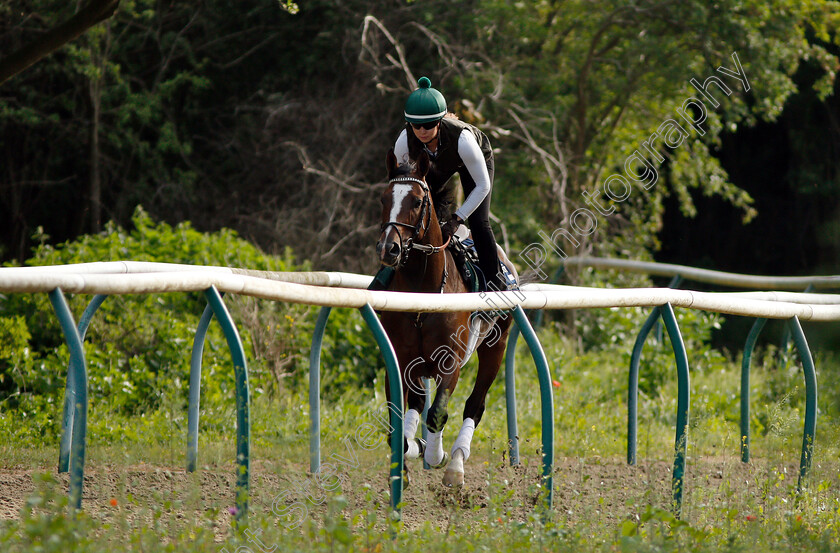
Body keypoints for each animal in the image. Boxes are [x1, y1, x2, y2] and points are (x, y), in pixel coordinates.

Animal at [376, 148, 520, 488]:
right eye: (384, 198)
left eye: (417, 201)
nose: (389, 248)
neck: (422, 296)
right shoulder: (400, 361)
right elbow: (397, 423)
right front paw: (405, 460)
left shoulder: (450, 362)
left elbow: (438, 413)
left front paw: (436, 456)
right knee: (418, 405)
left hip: (495, 347)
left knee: (475, 405)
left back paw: (455, 463)